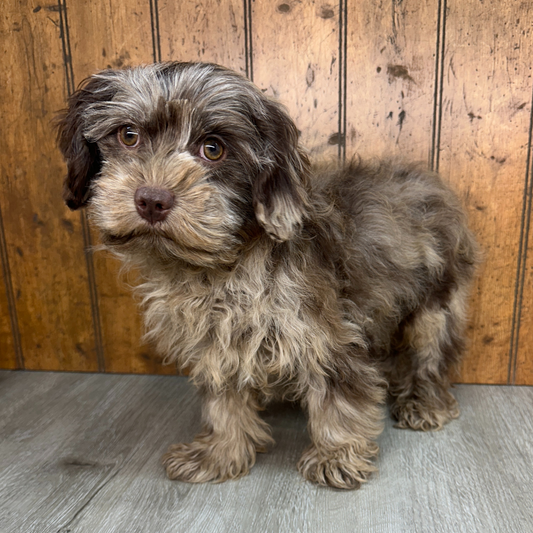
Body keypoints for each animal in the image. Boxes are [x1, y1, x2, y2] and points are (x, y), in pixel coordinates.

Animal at [57, 60, 478, 488]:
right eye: (128, 136)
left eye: (213, 149)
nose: (152, 200)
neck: (224, 263)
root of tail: (428, 179)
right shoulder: (216, 336)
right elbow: (223, 400)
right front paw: (220, 453)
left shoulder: (328, 335)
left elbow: (339, 399)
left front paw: (336, 455)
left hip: (436, 304)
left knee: (432, 354)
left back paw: (424, 401)